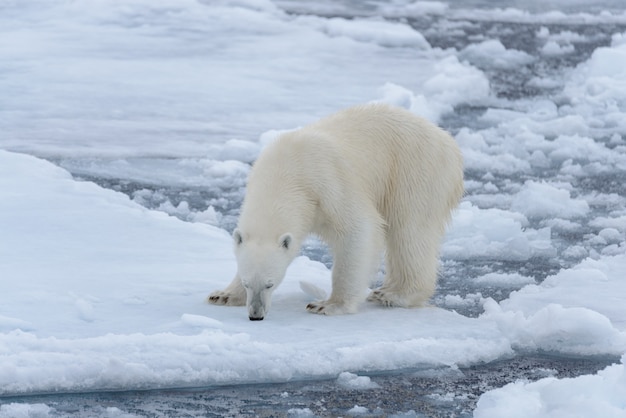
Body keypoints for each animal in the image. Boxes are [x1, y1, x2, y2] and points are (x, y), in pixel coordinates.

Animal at [207, 103, 460, 320]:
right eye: (247, 282)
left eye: (270, 283)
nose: (255, 315)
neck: (284, 173)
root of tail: (445, 139)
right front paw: (223, 295)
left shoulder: (326, 182)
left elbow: (359, 229)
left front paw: (328, 305)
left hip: (414, 169)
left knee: (409, 231)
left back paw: (396, 295)